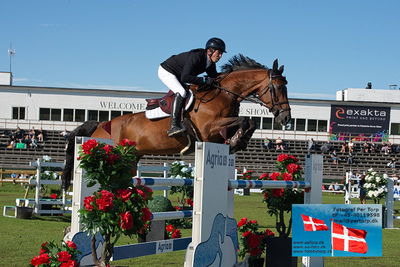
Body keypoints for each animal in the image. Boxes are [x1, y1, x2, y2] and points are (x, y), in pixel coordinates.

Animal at [63, 54, 294, 189]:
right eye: (278, 87)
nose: (286, 118)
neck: (223, 94)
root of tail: (100, 126)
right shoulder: (208, 129)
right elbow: (246, 120)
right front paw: (238, 141)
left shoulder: (217, 132)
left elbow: (249, 123)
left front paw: (238, 142)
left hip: (131, 159)